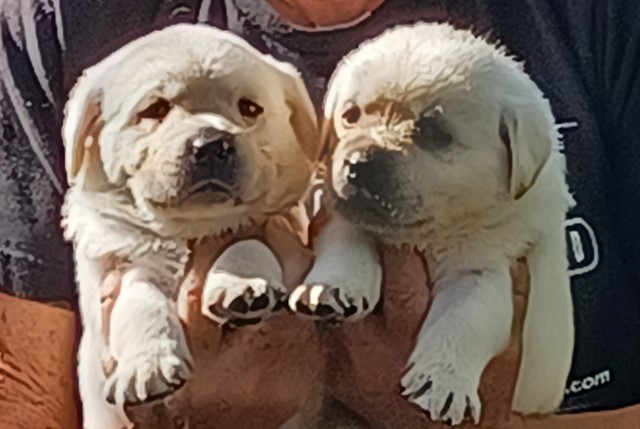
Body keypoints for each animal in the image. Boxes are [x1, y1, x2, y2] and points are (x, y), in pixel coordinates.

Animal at [62, 24, 318, 428]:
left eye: (249, 108)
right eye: (154, 110)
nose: (212, 143)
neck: (191, 230)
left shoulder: (277, 221)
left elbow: (248, 241)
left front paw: (240, 284)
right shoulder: (126, 261)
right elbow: (140, 299)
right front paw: (148, 365)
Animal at [292, 23, 576, 424]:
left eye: (436, 134)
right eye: (351, 115)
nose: (360, 164)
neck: (431, 233)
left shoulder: (483, 269)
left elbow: (463, 321)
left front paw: (443, 382)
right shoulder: (343, 212)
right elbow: (347, 242)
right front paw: (331, 288)